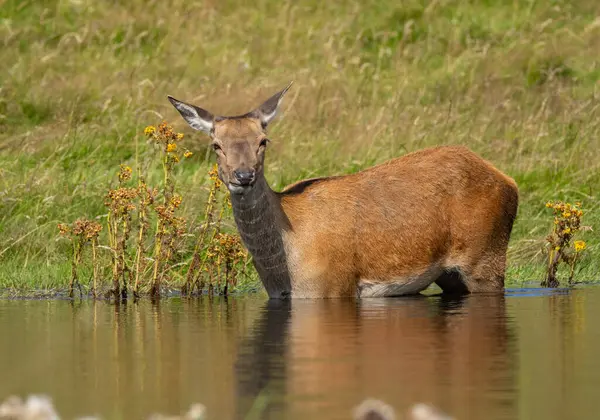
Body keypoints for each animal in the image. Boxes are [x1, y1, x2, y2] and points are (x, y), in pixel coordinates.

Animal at [166, 83, 516, 298]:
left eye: (262, 141)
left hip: (487, 257)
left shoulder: (332, 286)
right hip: (452, 275)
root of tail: (508, 181)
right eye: (216, 144)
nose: (243, 175)